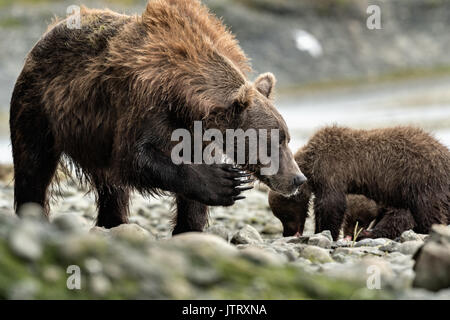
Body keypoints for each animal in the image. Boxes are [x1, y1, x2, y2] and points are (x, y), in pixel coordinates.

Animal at [9, 0, 306, 235]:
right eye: (274, 140)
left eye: (286, 138)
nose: (298, 179)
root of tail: (48, 32)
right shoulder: (140, 105)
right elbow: (135, 158)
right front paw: (226, 182)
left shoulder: (196, 133)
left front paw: (189, 227)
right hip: (38, 106)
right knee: (33, 167)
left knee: (111, 188)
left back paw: (113, 222)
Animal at [268, 125, 448, 240]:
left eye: (285, 216)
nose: (286, 233)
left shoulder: (332, 171)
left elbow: (331, 205)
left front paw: (325, 231)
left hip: (421, 179)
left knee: (428, 211)